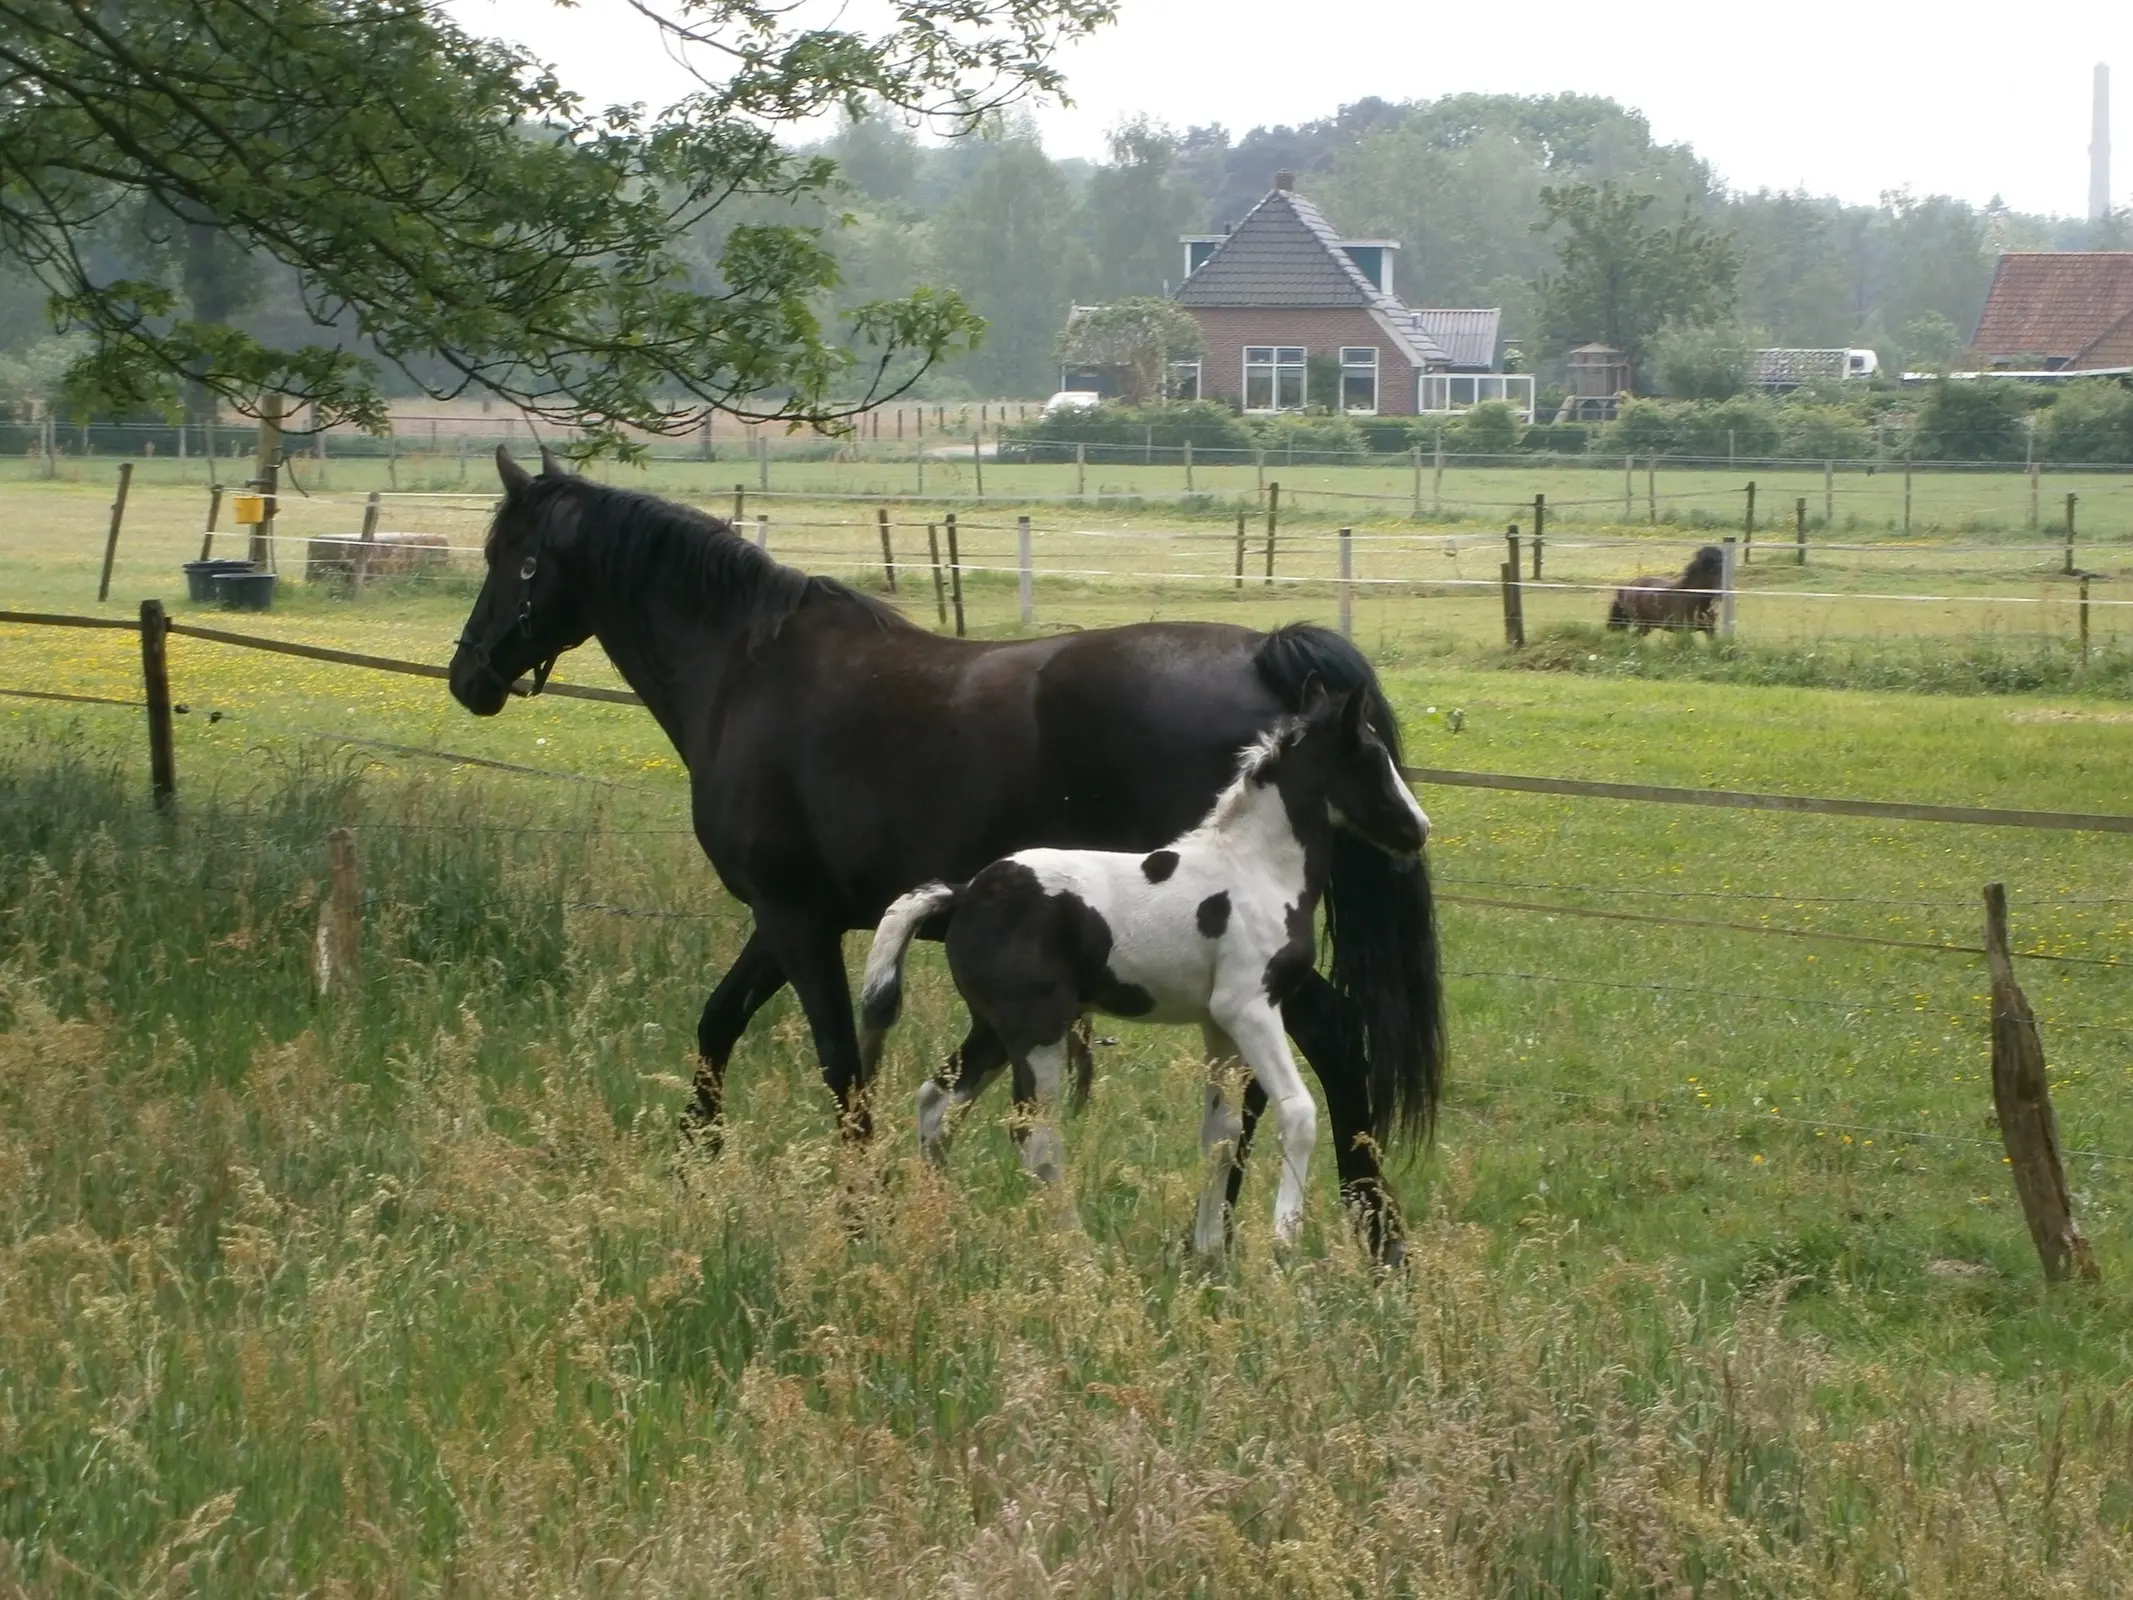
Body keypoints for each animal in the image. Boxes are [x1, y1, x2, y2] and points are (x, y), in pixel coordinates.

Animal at [861, 682, 1433, 1262]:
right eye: (1373, 757)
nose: (1418, 831)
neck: (1255, 870)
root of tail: (962, 894)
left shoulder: (1218, 1024)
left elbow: (1220, 1133)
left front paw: (1209, 1255)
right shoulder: (1249, 1007)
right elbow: (1297, 1111)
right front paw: (1283, 1238)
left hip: (995, 1030)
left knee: (938, 1103)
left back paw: (933, 1231)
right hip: (1036, 1029)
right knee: (1034, 1136)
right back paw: (1078, 1254)